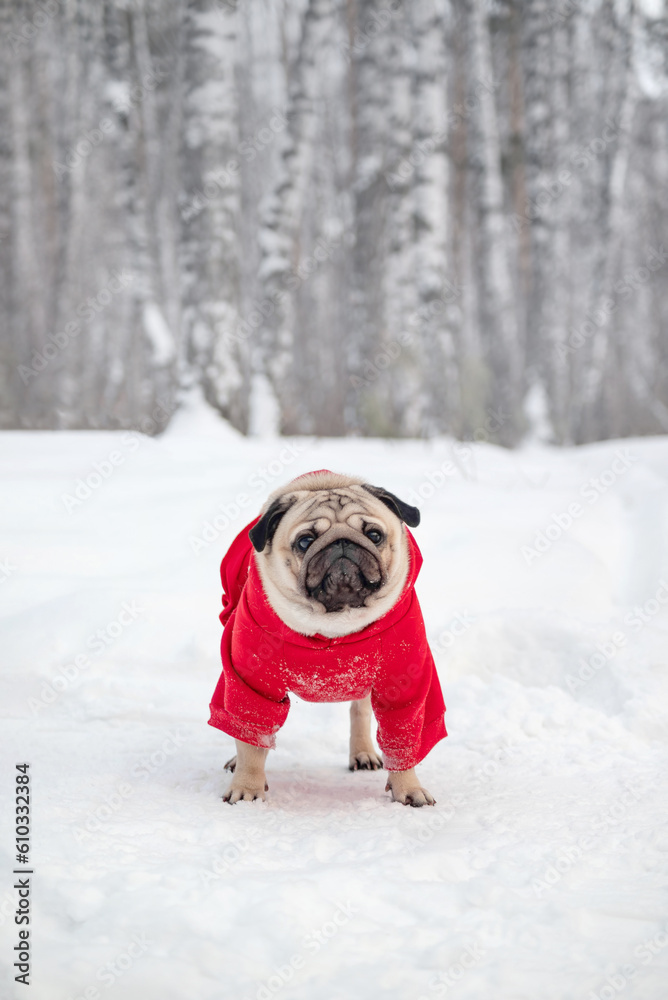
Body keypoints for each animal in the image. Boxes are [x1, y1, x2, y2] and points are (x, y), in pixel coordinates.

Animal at [207, 468, 448, 804]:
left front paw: (408, 789)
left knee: (360, 709)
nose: (342, 543)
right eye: (305, 540)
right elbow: (251, 736)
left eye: (375, 535)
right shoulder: (251, 681)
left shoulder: (405, 685)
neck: (336, 620)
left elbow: (402, 740)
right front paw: (247, 788)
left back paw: (363, 753)